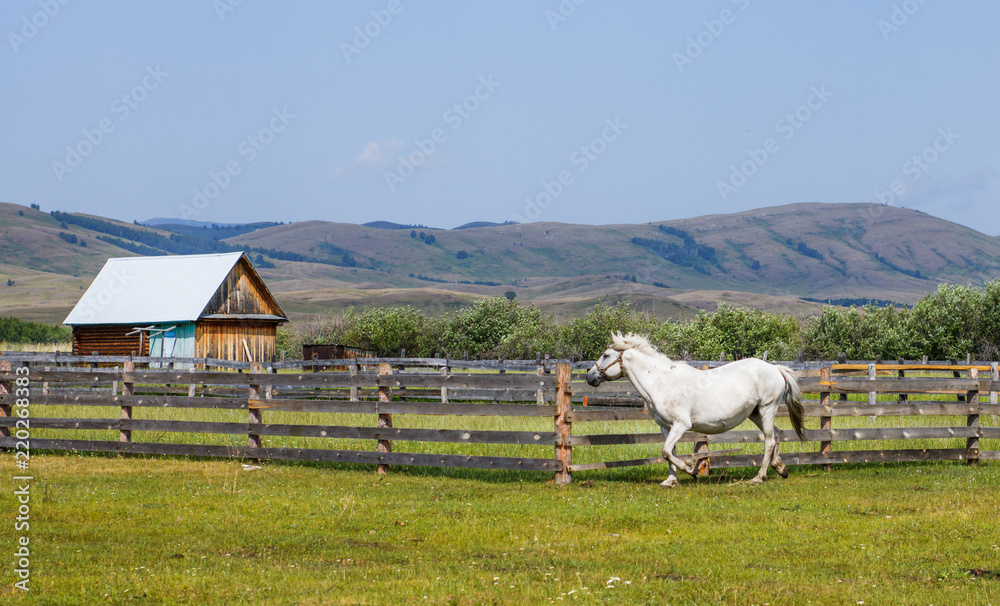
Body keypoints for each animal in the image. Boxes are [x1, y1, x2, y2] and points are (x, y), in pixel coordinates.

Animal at [586, 332, 806, 487]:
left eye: (605, 355)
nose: (589, 376)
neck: (661, 382)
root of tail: (775, 368)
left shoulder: (681, 424)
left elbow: (666, 451)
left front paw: (692, 470)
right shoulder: (666, 427)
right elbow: (668, 452)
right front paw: (671, 481)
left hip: (767, 409)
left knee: (769, 441)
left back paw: (760, 477)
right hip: (756, 414)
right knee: (776, 434)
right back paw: (781, 469)